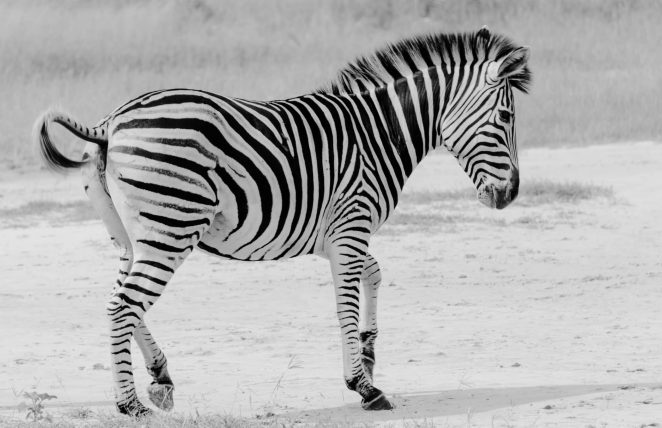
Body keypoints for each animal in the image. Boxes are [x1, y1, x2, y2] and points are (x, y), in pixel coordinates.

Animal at [34, 27, 530, 416]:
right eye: (506, 117)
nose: (509, 195)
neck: (378, 135)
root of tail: (110, 122)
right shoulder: (351, 225)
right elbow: (345, 303)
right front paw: (364, 386)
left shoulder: (338, 234)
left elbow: (374, 275)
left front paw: (368, 351)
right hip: (172, 227)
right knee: (123, 305)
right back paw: (130, 403)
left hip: (132, 235)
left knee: (121, 300)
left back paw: (160, 377)